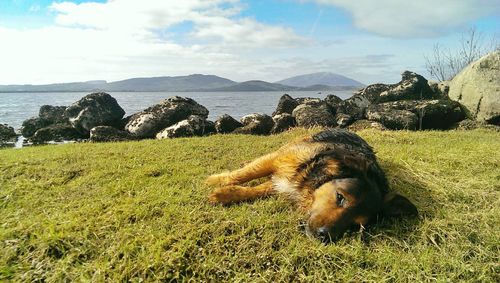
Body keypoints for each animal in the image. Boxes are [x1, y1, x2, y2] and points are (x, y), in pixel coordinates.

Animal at [205, 130, 416, 243]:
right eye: (340, 197)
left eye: (355, 225)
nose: (325, 237)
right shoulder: (280, 160)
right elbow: (244, 174)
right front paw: (216, 181)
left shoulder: (286, 181)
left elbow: (256, 189)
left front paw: (224, 194)